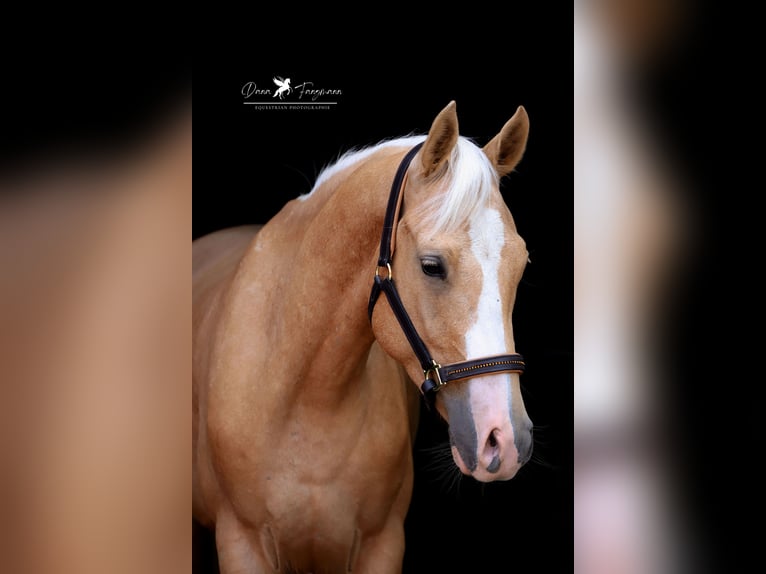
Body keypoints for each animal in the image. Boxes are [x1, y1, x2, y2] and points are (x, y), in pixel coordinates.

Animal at [194, 101, 536, 572]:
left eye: (521, 265)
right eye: (431, 265)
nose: (503, 438)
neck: (309, 401)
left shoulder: (382, 543)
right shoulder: (241, 542)